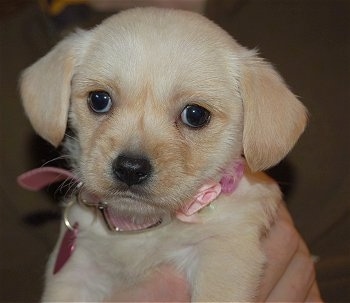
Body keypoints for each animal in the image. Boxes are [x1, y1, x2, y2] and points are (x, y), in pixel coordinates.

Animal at [20, 6, 308, 302]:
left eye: (195, 115)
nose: (130, 168)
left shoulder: (223, 253)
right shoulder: (76, 271)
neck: (139, 228)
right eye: (99, 100)